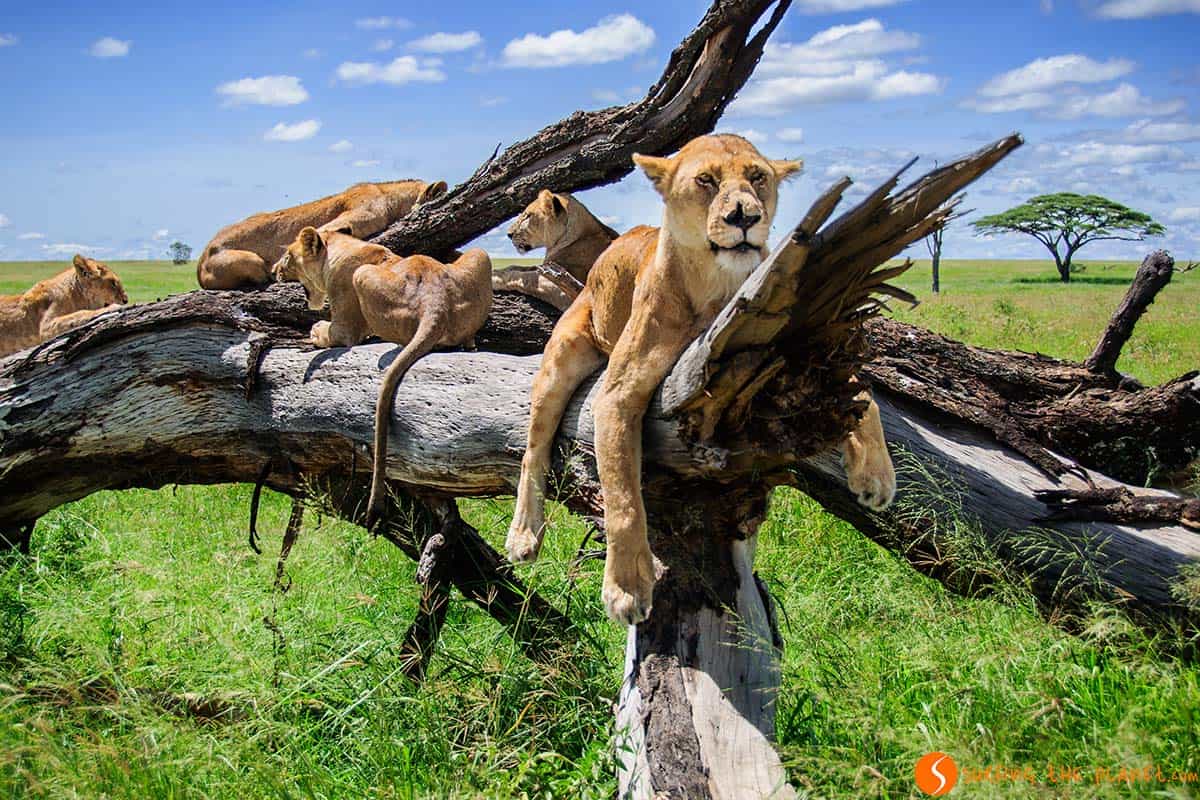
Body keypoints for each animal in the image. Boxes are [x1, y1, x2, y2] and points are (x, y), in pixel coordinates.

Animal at [0, 254, 128, 357]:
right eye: (113, 283)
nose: (126, 300)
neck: (76, 295)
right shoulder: (46, 327)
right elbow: (79, 314)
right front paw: (113, 307)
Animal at [272, 227, 493, 524]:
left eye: (287, 256)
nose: (274, 271)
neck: (338, 247)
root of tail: (435, 299)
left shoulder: (345, 325)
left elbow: (329, 332)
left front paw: (314, 331)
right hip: (480, 256)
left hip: (362, 275)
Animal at [505, 134, 897, 625]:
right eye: (706, 180)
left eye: (758, 177)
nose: (744, 216)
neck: (717, 285)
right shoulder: (615, 394)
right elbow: (622, 494)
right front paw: (626, 589)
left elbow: (864, 390)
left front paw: (876, 474)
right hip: (563, 357)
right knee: (533, 449)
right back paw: (523, 535)